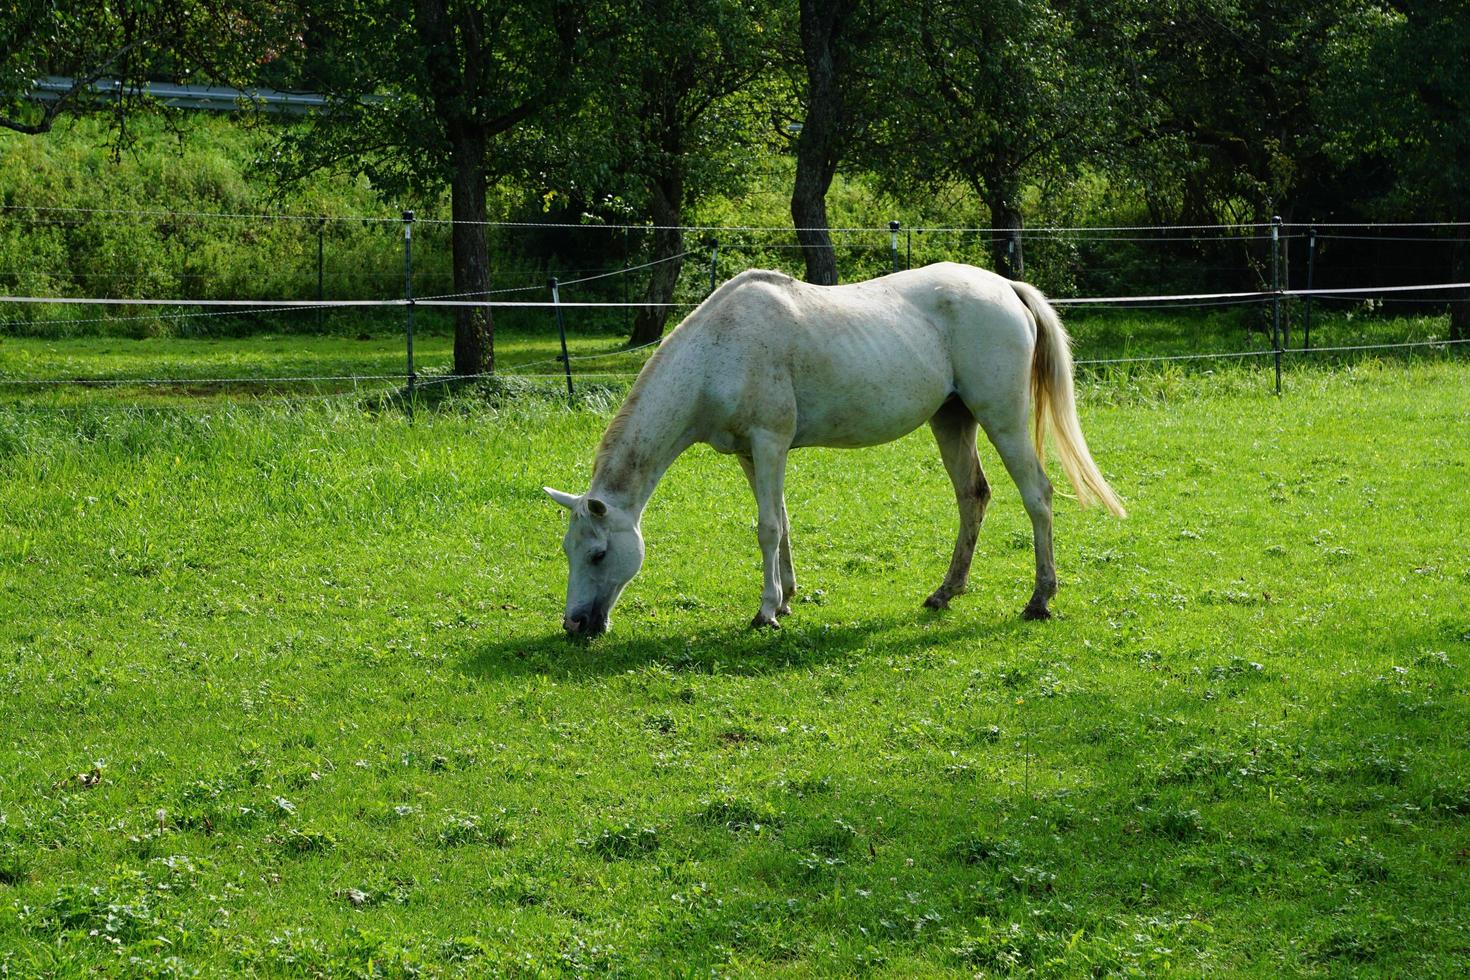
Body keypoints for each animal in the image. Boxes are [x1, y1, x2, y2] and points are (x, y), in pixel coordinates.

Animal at [546, 260, 1117, 637]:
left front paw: (766, 612)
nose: (575, 624)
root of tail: (1005, 287)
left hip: (1003, 419)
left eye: (598, 553)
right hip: (952, 421)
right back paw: (945, 592)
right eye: (569, 550)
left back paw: (1039, 600)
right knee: (973, 496)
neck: (720, 348)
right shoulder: (751, 455)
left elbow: (767, 527)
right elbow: (780, 520)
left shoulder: (769, 443)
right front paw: (788, 598)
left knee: (1038, 495)